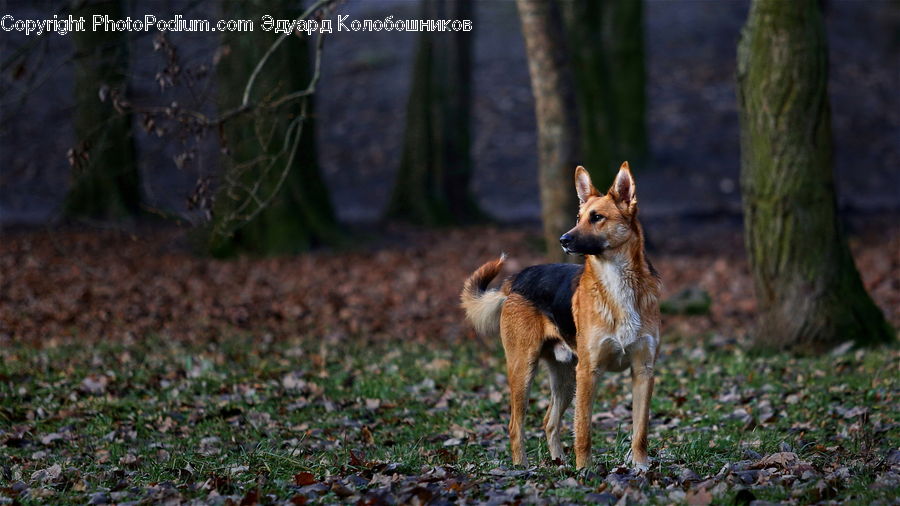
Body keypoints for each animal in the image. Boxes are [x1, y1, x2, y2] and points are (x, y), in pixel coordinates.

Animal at [461, 162, 661, 470]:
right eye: (578, 218)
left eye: (597, 217)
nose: (563, 240)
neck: (617, 282)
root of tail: (516, 279)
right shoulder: (589, 372)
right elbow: (583, 430)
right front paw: (585, 470)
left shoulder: (643, 371)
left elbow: (640, 430)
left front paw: (640, 468)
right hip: (524, 370)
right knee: (515, 425)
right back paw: (522, 467)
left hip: (566, 378)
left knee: (549, 421)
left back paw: (558, 463)